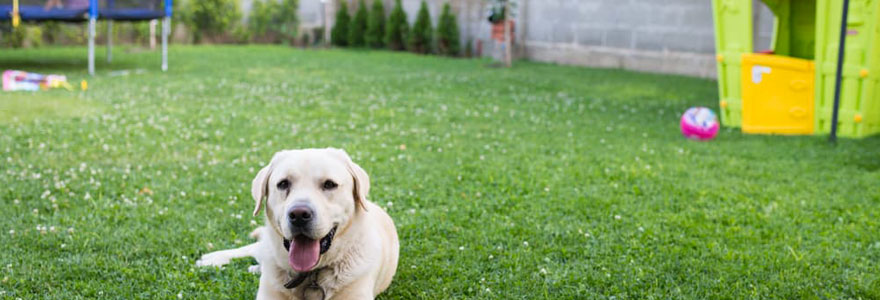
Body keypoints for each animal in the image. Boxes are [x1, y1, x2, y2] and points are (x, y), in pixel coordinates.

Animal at [198, 149, 400, 298]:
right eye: (283, 184)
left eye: (329, 184)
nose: (299, 215)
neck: (311, 276)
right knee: (251, 249)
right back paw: (211, 259)